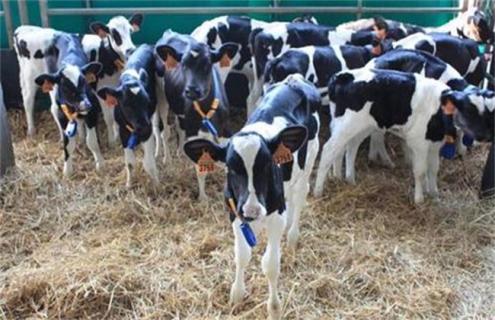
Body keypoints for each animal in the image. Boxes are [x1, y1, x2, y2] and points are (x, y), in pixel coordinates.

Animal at [33, 31, 103, 176]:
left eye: (84, 81)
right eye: (65, 87)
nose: (86, 104)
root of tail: (63, 34)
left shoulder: (92, 111)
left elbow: (92, 141)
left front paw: (100, 164)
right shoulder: (63, 115)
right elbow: (68, 144)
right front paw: (67, 170)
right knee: (54, 110)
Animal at [99, 43, 163, 186]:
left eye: (147, 101)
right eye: (127, 105)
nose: (143, 126)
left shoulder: (147, 130)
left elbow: (148, 163)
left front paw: (157, 184)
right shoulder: (123, 131)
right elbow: (130, 163)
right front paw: (129, 183)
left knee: (157, 129)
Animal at [156, 30, 239, 200]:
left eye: (208, 64)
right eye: (183, 64)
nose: (191, 90)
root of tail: (170, 31)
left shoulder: (225, 130)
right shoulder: (194, 133)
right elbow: (200, 169)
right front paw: (203, 198)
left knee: (180, 128)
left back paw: (181, 152)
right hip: (162, 98)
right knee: (165, 132)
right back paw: (167, 158)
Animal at [184, 74, 320, 318]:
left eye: (266, 165)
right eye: (230, 167)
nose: (252, 210)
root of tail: (293, 79)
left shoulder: (274, 217)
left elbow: (271, 264)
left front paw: (274, 308)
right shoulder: (235, 214)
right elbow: (242, 254)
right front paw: (237, 295)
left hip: (311, 155)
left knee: (300, 194)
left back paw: (292, 236)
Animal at [316, 69, 456, 204]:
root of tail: (343, 75)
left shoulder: (435, 144)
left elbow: (433, 169)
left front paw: (434, 196)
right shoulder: (418, 141)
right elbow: (420, 170)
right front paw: (419, 200)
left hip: (360, 126)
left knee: (348, 148)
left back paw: (344, 179)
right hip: (347, 125)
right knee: (329, 149)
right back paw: (318, 191)